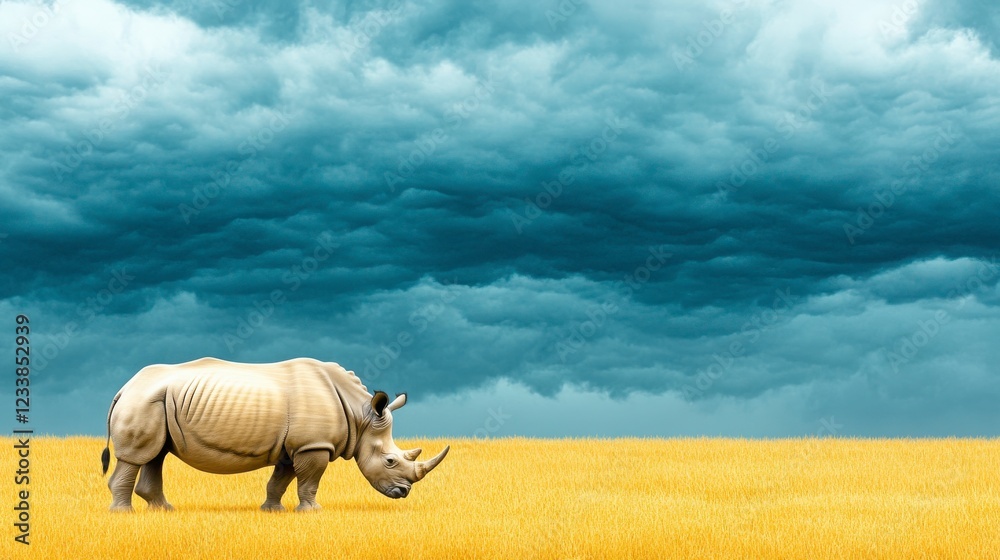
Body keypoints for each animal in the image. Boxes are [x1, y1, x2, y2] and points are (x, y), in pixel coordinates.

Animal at [101, 357, 449, 512]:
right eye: (390, 461)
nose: (403, 493)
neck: (360, 415)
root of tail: (123, 388)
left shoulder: (295, 446)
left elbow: (280, 480)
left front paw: (272, 511)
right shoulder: (313, 446)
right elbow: (309, 481)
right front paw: (312, 513)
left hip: (155, 402)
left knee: (155, 454)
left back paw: (164, 511)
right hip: (143, 401)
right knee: (137, 457)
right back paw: (124, 514)